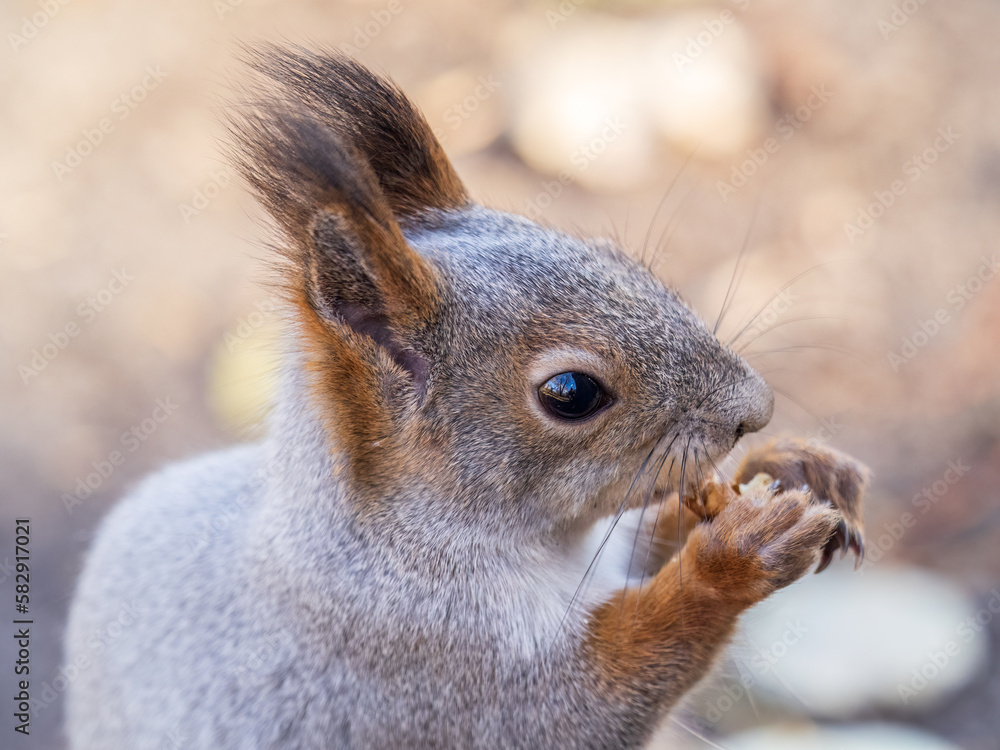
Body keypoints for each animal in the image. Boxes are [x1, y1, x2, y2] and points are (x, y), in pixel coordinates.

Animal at [65, 47, 869, 750]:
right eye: (570, 393)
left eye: (617, 258)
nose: (754, 409)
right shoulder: (422, 668)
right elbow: (591, 706)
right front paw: (736, 557)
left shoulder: (603, 554)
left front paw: (791, 466)